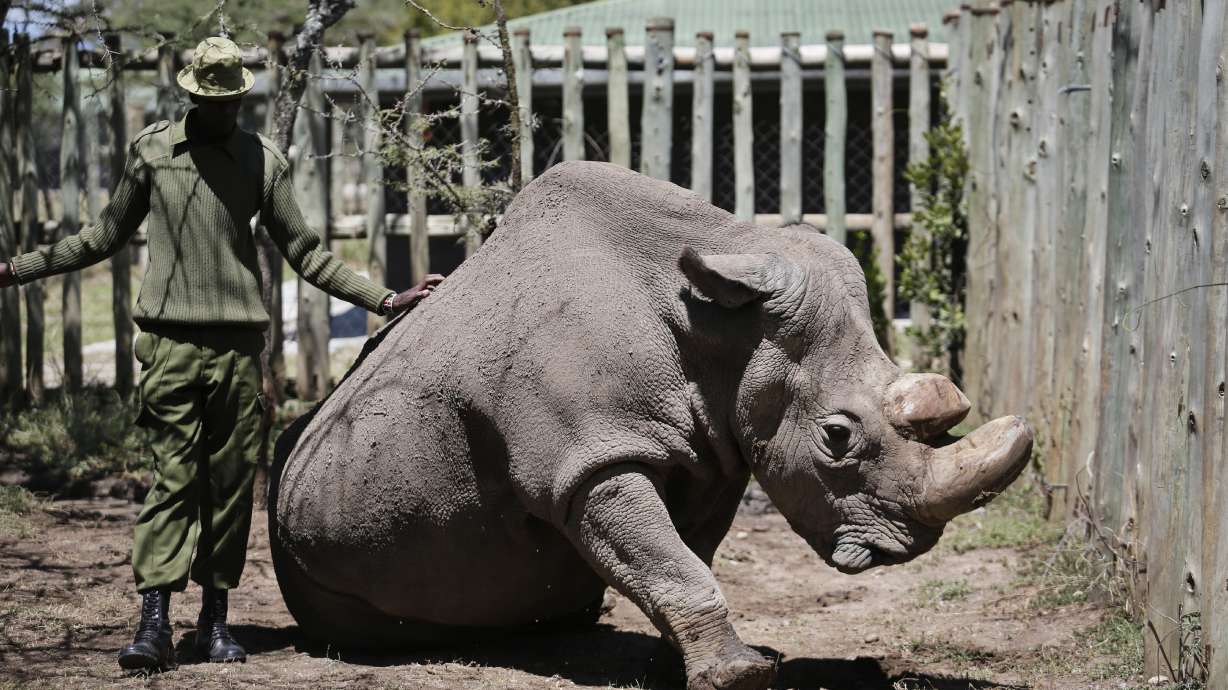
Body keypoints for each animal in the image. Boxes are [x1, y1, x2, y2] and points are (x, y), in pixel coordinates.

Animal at [269, 161, 1033, 690]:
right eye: (837, 437)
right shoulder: (588, 460)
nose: (905, 548)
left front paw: (709, 662)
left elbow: (682, 556)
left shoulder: (715, 450)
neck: (721, 327)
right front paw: (740, 677)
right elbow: (669, 560)